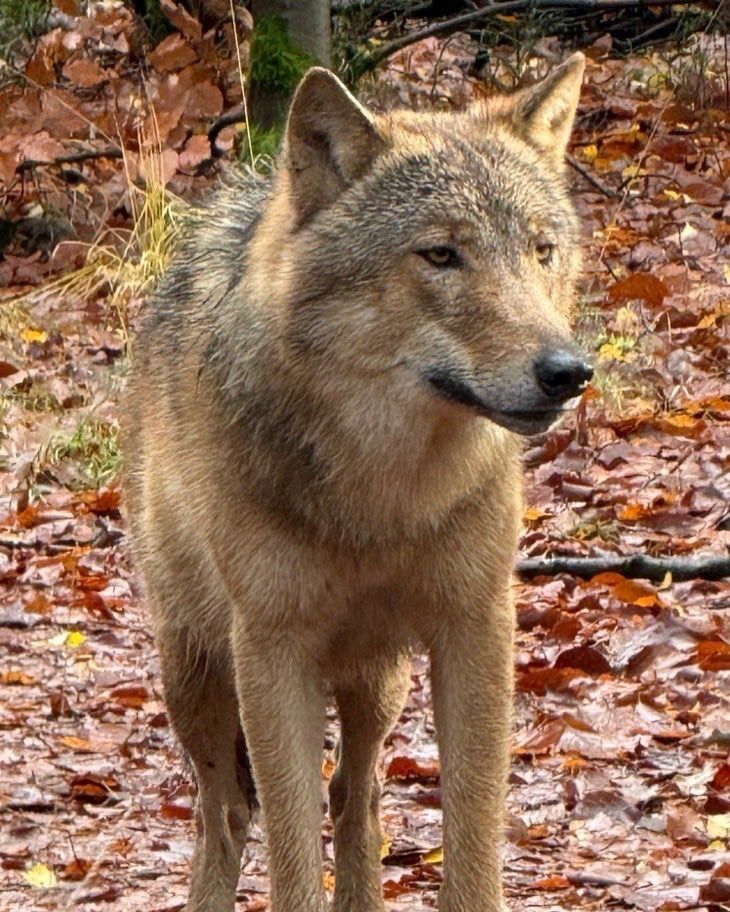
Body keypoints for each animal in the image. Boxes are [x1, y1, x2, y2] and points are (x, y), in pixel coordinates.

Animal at [122, 52, 591, 912]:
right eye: (441, 255)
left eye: (540, 251)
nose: (569, 372)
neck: (382, 499)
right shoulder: (271, 649)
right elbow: (289, 854)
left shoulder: (476, 623)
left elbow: (472, 831)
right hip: (192, 671)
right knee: (224, 814)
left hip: (379, 684)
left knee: (357, 795)